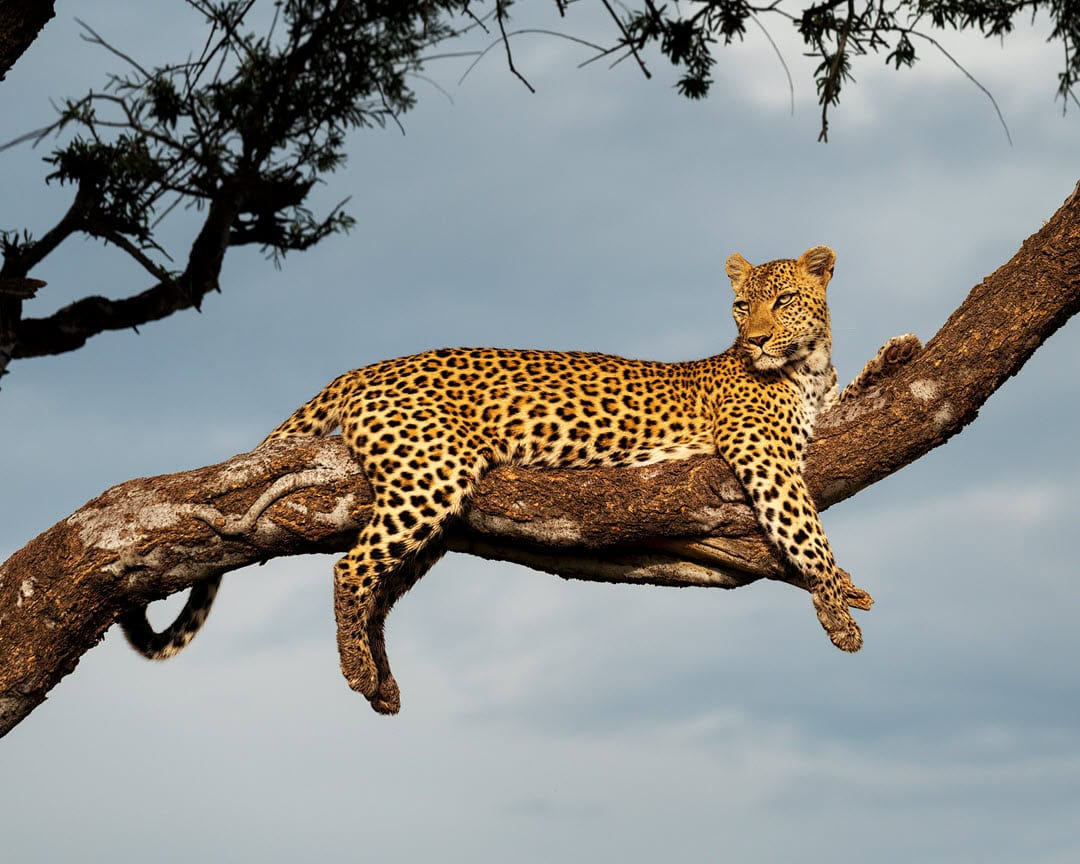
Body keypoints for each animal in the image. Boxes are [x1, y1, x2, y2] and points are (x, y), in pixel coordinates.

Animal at [121, 246, 922, 714]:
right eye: (739, 304)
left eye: (781, 300)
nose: (754, 338)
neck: (805, 366)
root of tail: (362, 368)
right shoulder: (763, 455)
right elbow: (804, 530)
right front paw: (841, 602)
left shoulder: (816, 419)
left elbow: (855, 400)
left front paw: (900, 350)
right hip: (434, 470)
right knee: (350, 569)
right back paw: (354, 671)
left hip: (434, 506)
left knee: (381, 585)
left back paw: (380, 680)